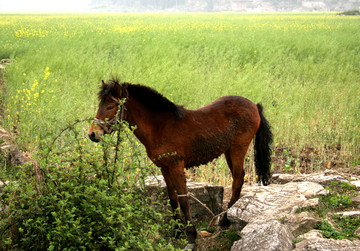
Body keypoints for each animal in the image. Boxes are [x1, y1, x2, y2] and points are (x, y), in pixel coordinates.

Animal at [88, 79, 272, 249]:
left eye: (110, 106)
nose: (92, 134)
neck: (160, 127)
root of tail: (254, 105)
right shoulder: (165, 168)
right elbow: (172, 199)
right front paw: (176, 232)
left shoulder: (177, 167)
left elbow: (184, 199)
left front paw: (190, 237)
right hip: (228, 151)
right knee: (237, 178)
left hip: (238, 148)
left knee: (238, 180)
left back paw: (224, 221)